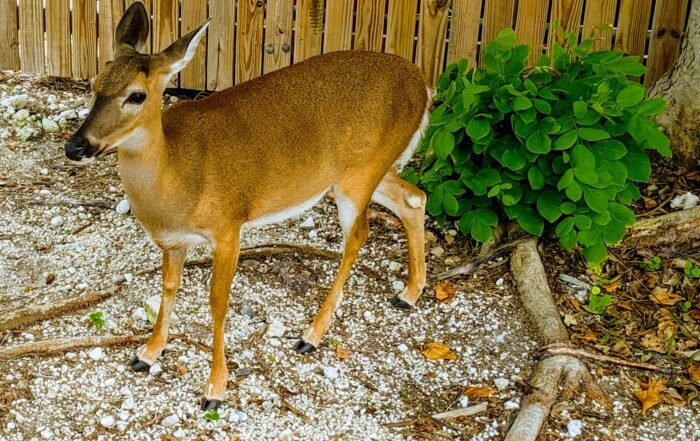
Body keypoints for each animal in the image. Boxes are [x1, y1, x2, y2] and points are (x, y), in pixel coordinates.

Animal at [65, 2, 430, 411]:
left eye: (137, 96)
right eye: (94, 83)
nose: (75, 146)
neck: (177, 178)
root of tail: (423, 83)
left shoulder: (228, 225)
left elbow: (217, 302)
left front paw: (215, 388)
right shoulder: (173, 241)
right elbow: (169, 287)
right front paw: (147, 353)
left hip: (361, 172)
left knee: (359, 235)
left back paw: (311, 335)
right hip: (358, 173)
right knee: (413, 198)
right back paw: (408, 294)